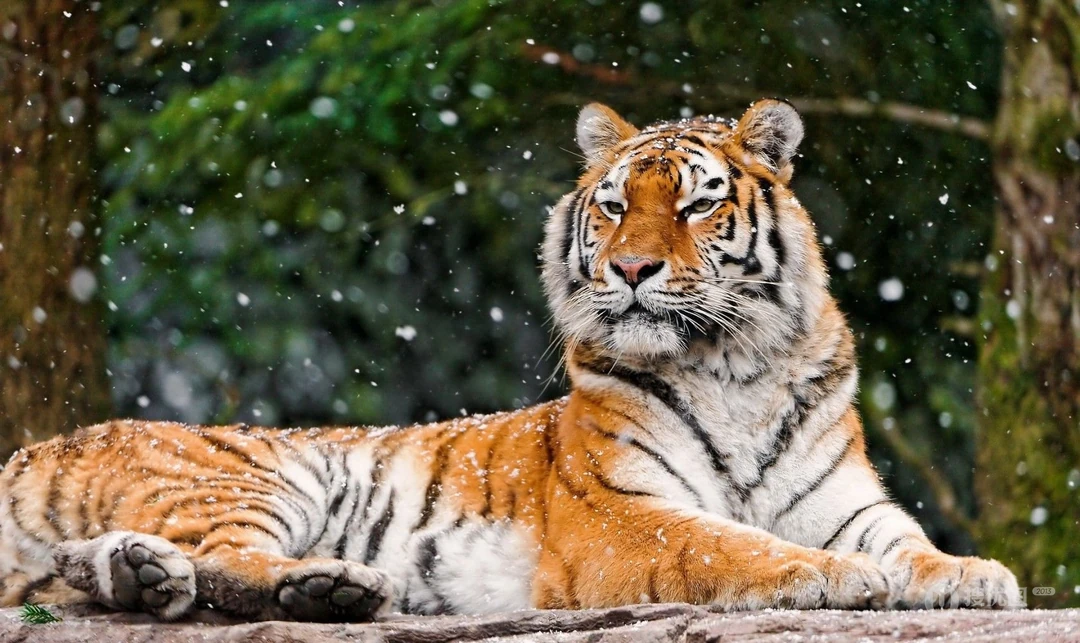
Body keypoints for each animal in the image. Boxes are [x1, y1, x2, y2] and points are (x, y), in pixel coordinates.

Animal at [0, 100, 1022, 623]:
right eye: (614, 205)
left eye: (696, 205)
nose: (632, 268)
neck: (736, 365)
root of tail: (38, 445)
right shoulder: (622, 513)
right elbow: (727, 542)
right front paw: (828, 575)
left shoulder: (847, 499)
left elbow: (907, 540)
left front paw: (973, 571)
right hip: (251, 475)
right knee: (221, 561)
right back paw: (326, 584)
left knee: (118, 568)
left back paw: (158, 575)